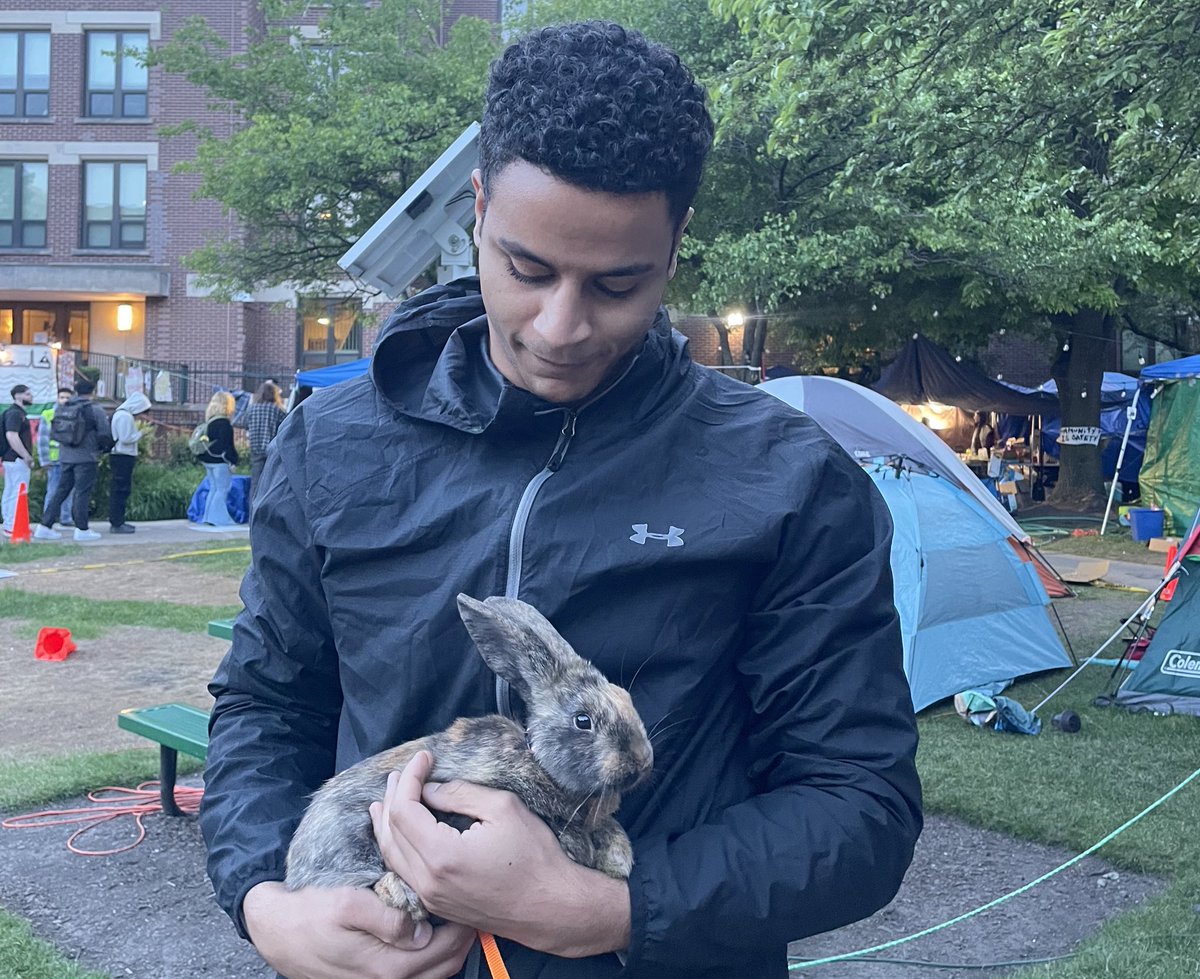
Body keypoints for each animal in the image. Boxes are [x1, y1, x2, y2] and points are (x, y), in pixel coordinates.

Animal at [283, 592, 657, 921]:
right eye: (583, 720)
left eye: (626, 698)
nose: (642, 762)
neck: (537, 760)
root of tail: (294, 871)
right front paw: (583, 848)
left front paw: (617, 855)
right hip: (349, 844)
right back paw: (402, 893)